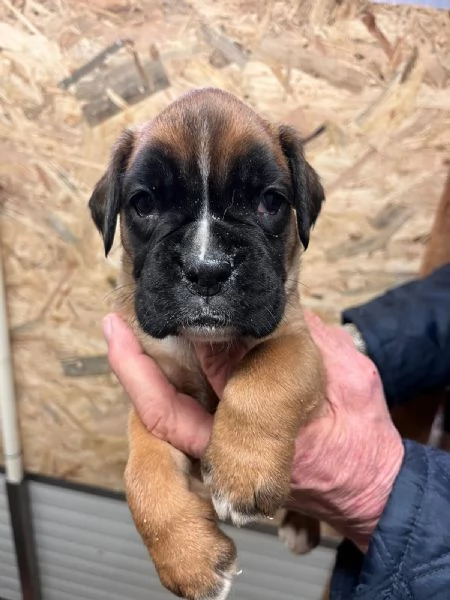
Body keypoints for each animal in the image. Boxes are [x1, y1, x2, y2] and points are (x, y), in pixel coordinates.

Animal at [89, 85, 326, 600]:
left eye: (271, 201)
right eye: (144, 203)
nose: (207, 269)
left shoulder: (302, 344)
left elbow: (265, 373)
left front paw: (243, 472)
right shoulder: (156, 396)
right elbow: (141, 477)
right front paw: (188, 558)